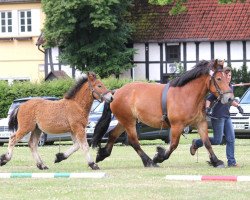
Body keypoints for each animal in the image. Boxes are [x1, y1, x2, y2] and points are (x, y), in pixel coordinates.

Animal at [91, 60, 234, 168]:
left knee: (113, 134)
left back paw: (102, 154)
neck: (187, 95)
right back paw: (149, 161)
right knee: (133, 141)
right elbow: (174, 145)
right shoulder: (177, 126)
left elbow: (207, 142)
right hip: (129, 121)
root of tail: (116, 92)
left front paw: (216, 161)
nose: (230, 98)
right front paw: (159, 157)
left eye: (226, 78)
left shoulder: (200, 123)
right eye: (219, 78)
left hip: (124, 121)